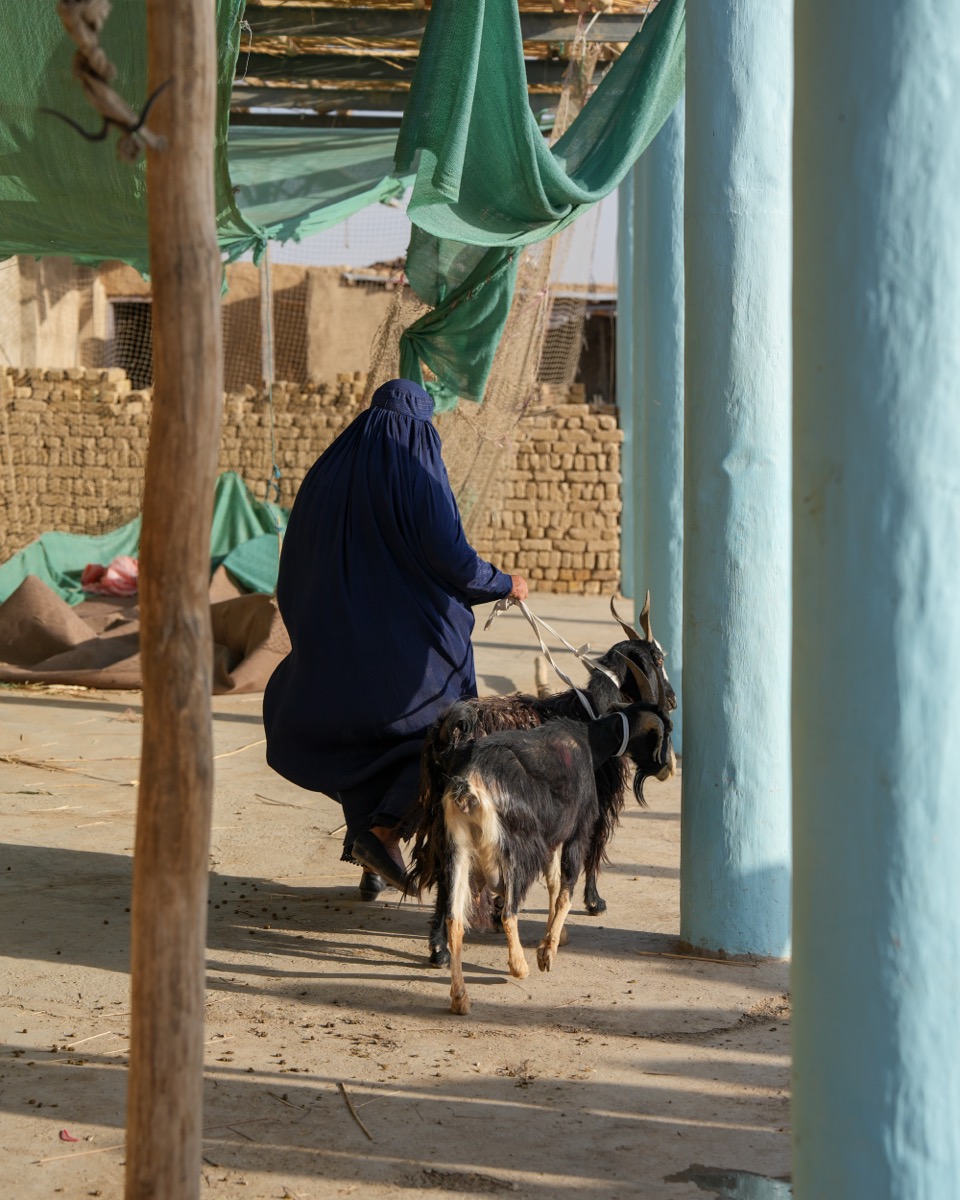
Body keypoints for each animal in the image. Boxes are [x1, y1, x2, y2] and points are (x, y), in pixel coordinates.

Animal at [411, 594, 677, 966]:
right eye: (659, 659)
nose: (673, 699)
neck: (595, 712)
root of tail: (450, 728)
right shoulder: (594, 802)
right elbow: (594, 846)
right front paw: (594, 902)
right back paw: (443, 947)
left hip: (443, 810)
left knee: (445, 865)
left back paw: (440, 946)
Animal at [416, 702, 673, 1014]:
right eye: (663, 735)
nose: (668, 767)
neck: (588, 740)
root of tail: (469, 785)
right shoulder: (578, 830)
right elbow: (566, 889)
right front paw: (547, 952)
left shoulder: (552, 837)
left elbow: (553, 883)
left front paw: (555, 936)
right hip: (516, 850)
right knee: (508, 911)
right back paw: (519, 967)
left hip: (458, 850)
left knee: (454, 919)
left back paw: (460, 998)